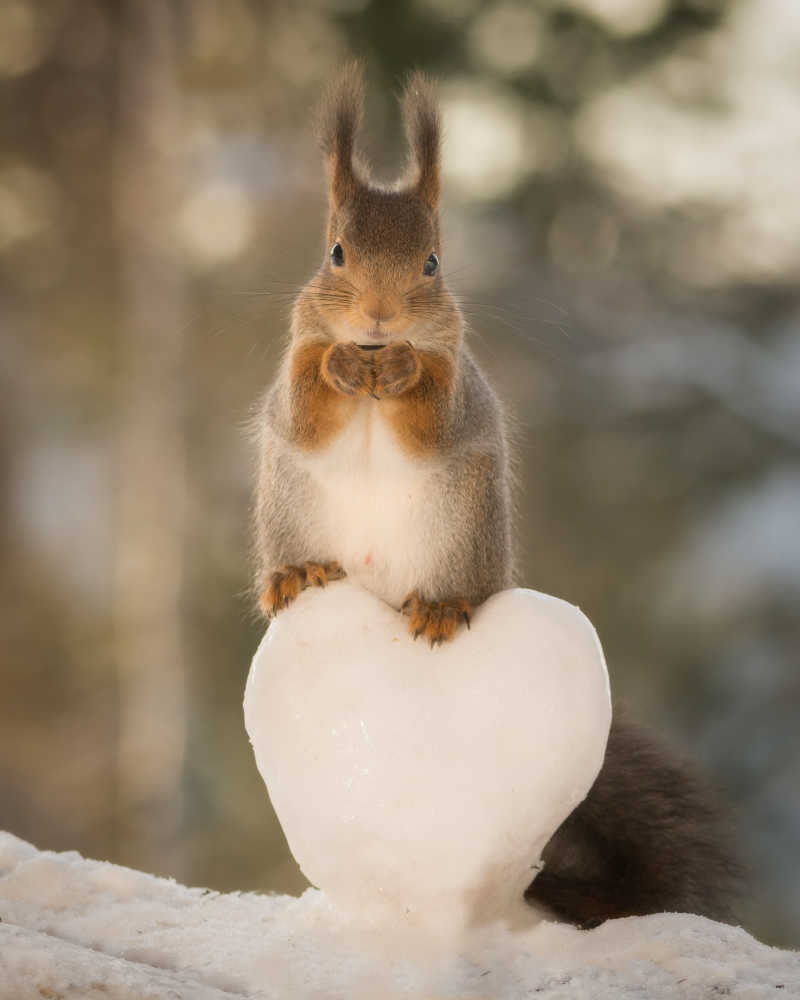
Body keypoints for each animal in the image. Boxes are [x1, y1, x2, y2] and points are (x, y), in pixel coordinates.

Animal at [252, 64, 744, 928]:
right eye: (336, 252)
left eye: (432, 264)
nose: (379, 320)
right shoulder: (295, 368)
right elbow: (307, 406)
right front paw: (340, 368)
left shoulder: (457, 394)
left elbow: (431, 414)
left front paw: (403, 370)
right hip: (290, 504)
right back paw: (294, 574)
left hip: (465, 528)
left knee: (456, 583)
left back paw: (444, 606)